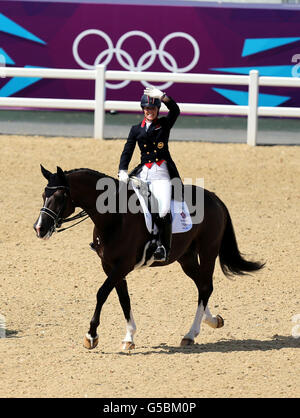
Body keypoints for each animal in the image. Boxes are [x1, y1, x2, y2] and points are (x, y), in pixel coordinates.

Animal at [32, 165, 264, 352]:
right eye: (43, 194)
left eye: (60, 196)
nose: (39, 228)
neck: (114, 217)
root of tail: (214, 198)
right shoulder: (110, 265)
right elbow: (123, 299)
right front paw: (129, 338)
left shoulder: (122, 265)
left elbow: (102, 294)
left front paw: (91, 336)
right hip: (186, 257)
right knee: (202, 285)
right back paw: (212, 320)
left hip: (208, 251)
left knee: (206, 286)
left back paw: (191, 334)